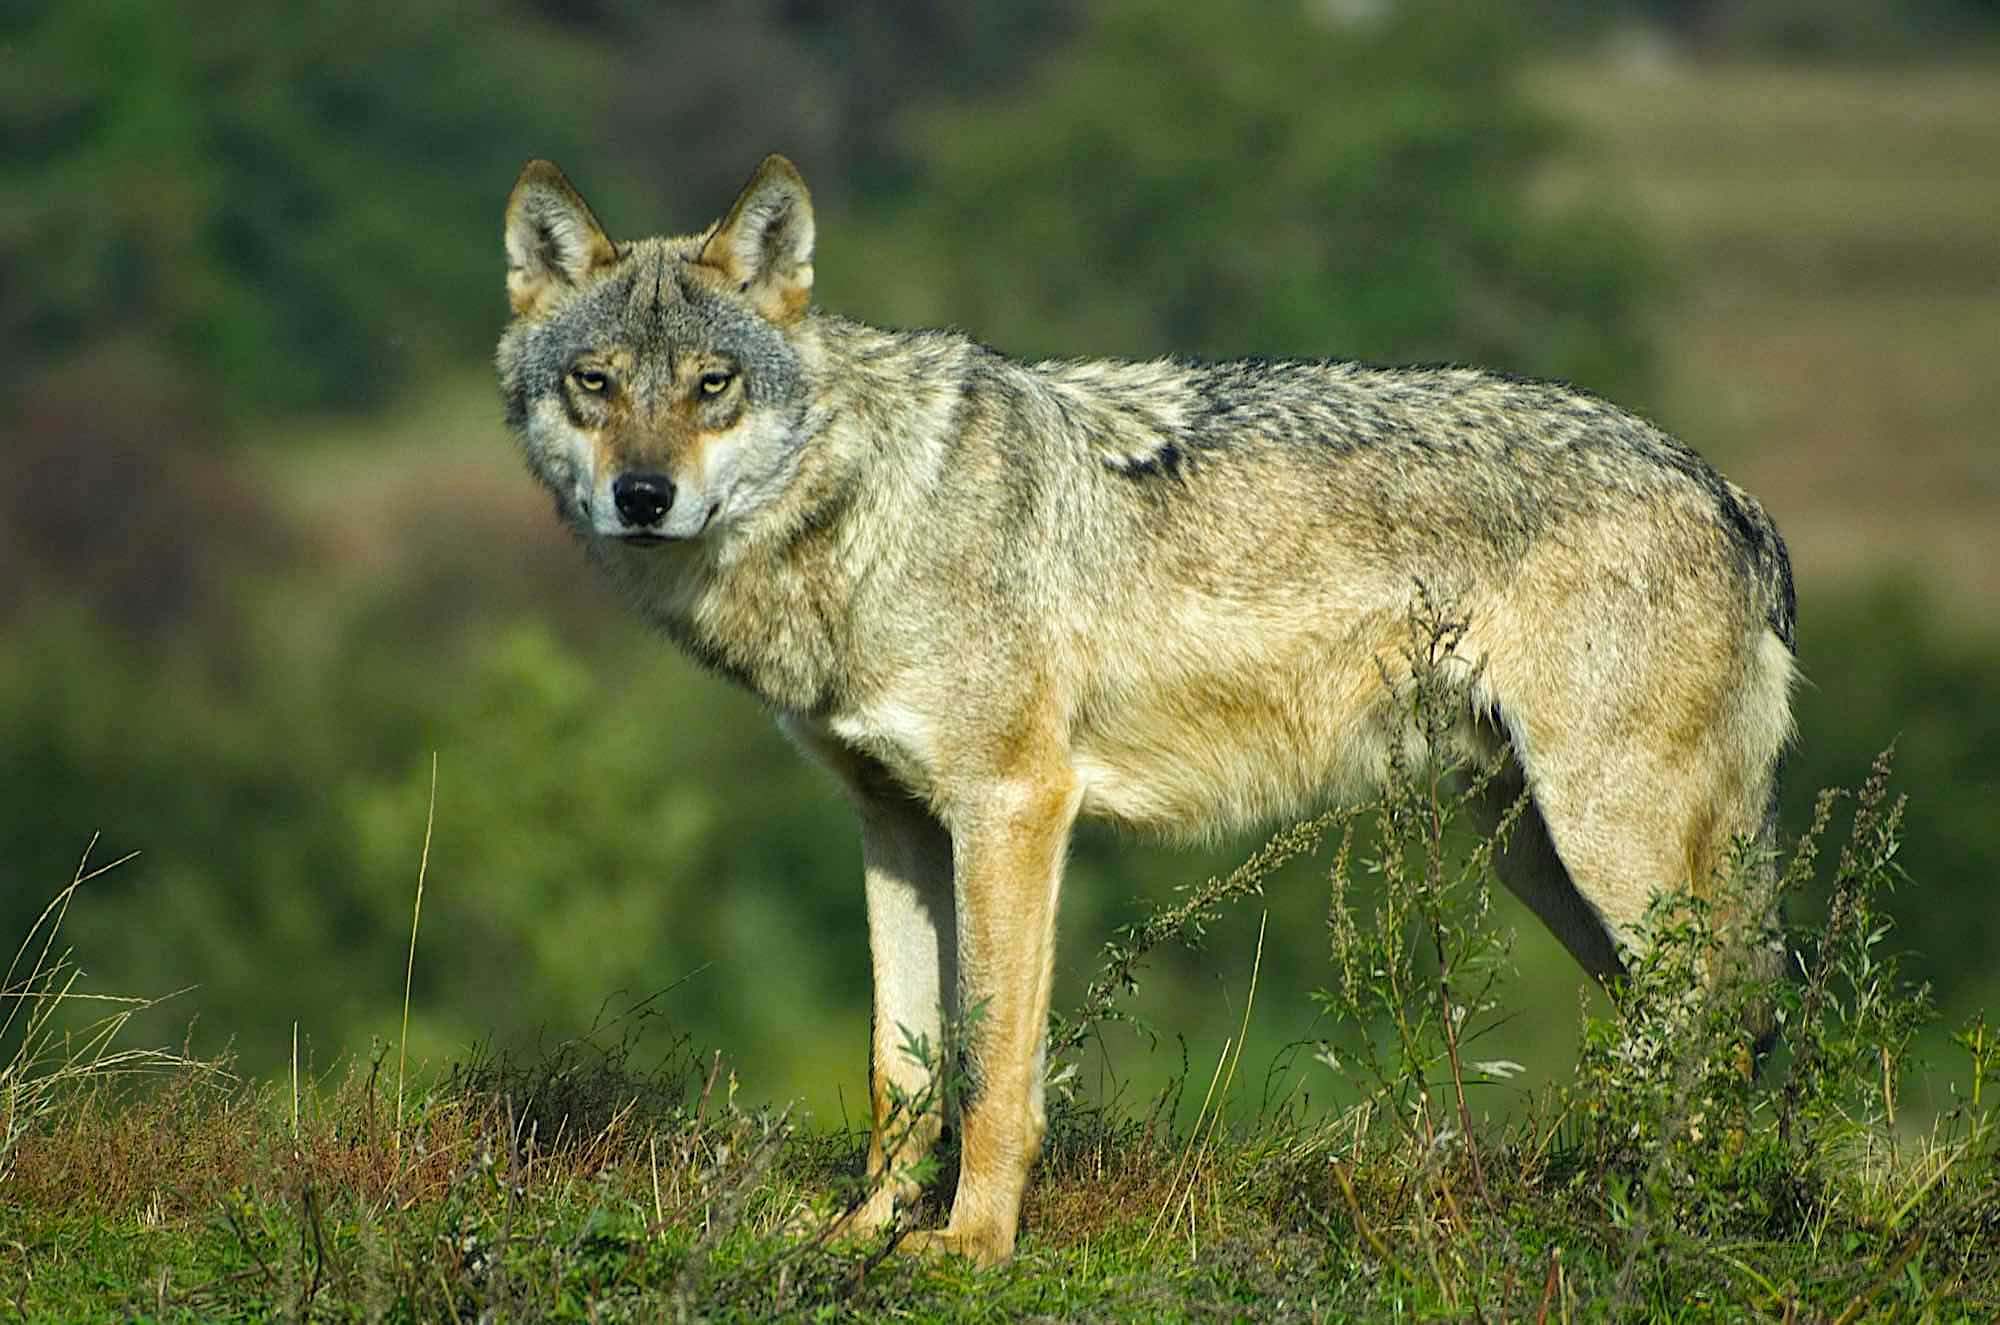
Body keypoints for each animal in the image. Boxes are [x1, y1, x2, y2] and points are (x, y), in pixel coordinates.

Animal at [496, 155, 1796, 1265]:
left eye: (711, 385)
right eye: (594, 383)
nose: (642, 495)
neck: (868, 511)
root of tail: (1726, 490)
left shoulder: (1014, 806)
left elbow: (991, 1065)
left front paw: (968, 1245)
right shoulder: (893, 825)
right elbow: (897, 1069)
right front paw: (861, 1230)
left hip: (1603, 842)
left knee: (1718, 1015)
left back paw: (1676, 1218)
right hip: (1535, 853)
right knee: (1699, 1027)